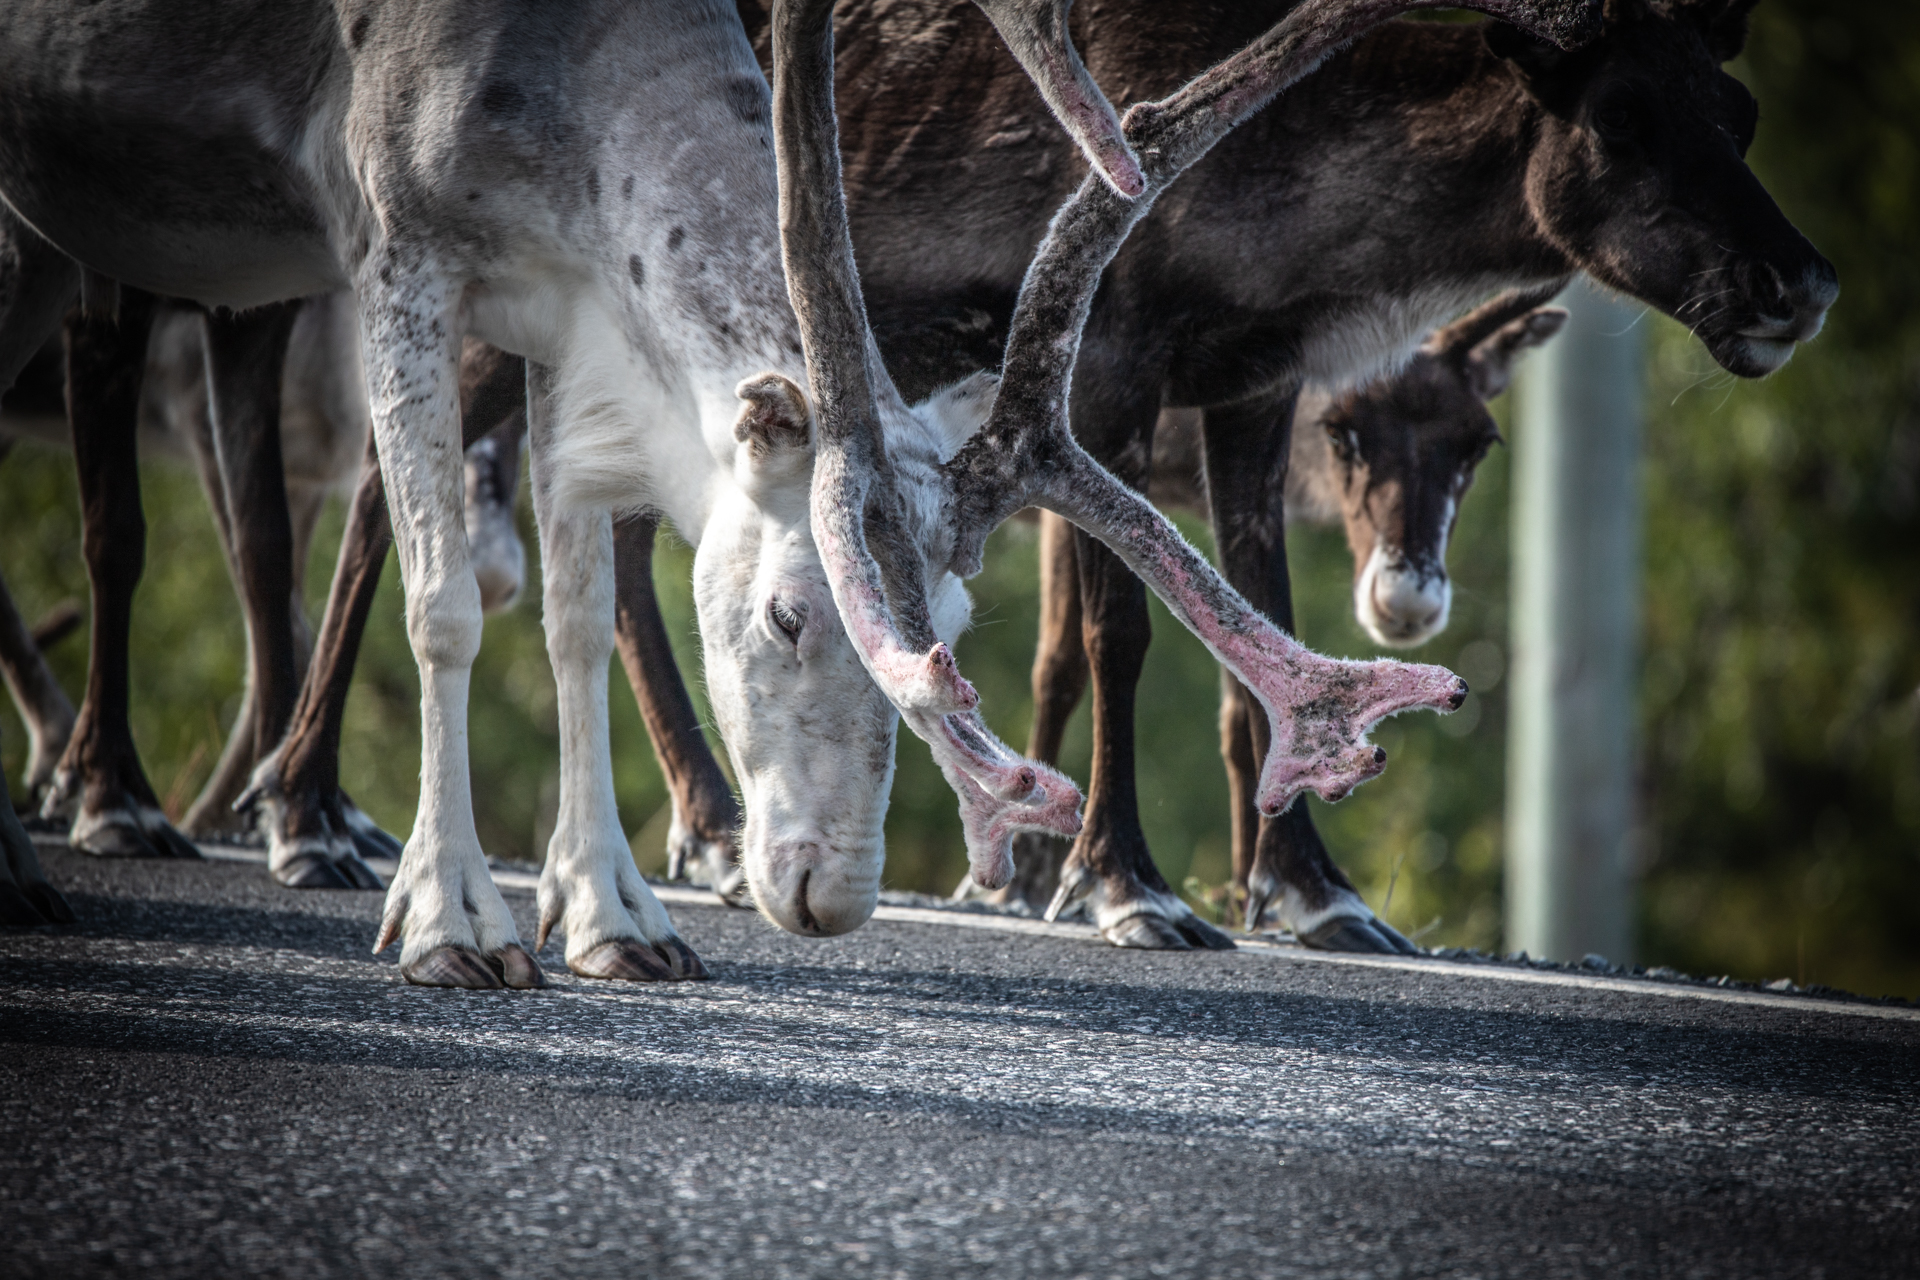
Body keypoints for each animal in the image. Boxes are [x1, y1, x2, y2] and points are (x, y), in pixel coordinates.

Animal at [0, 0, 1601, 983]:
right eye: (784, 617)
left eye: (958, 624)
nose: (834, 897)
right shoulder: (399, 250)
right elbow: (448, 599)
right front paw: (453, 920)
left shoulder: (568, 315)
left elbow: (576, 616)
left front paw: (614, 919)